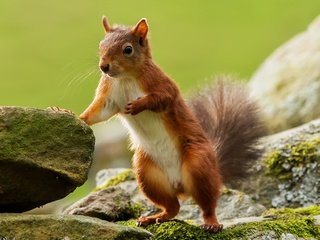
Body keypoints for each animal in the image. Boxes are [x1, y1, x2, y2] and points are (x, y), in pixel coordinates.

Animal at [79, 16, 262, 232]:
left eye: (128, 49)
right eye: (101, 45)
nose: (104, 67)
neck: (125, 78)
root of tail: (180, 185)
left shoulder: (161, 84)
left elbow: (162, 98)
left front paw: (139, 104)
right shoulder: (109, 95)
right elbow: (97, 112)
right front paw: (74, 116)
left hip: (198, 164)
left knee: (207, 203)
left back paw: (211, 223)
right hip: (147, 174)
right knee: (173, 207)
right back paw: (153, 217)